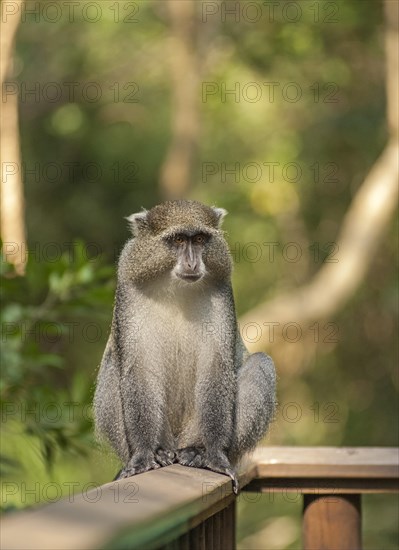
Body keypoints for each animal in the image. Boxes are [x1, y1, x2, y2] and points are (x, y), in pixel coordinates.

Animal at [94, 201, 276, 494]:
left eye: (200, 239)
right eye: (178, 239)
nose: (192, 262)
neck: (176, 288)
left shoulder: (221, 288)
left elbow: (217, 366)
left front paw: (213, 454)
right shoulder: (129, 289)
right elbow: (138, 368)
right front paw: (144, 455)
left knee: (261, 362)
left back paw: (197, 451)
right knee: (113, 367)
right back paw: (159, 453)